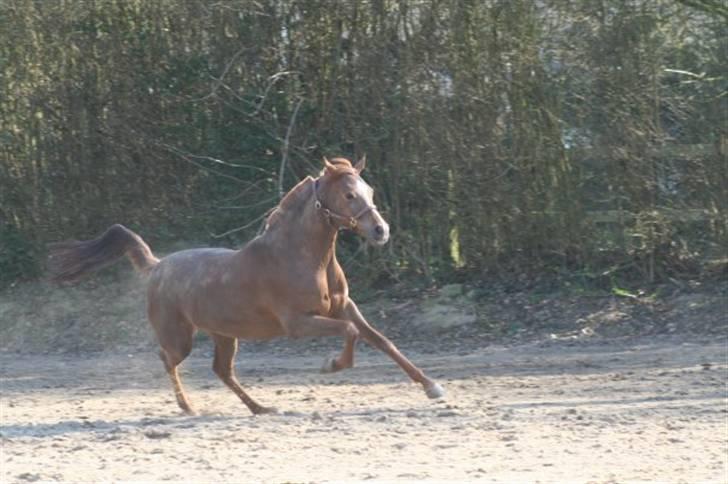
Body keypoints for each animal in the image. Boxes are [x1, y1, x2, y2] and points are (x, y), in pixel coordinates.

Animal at [49, 157, 444, 414]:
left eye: (369, 190)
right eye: (349, 196)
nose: (381, 231)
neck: (302, 257)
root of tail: (157, 266)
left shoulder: (345, 306)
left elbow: (381, 340)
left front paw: (432, 387)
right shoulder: (299, 323)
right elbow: (350, 333)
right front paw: (331, 365)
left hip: (224, 334)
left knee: (222, 370)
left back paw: (260, 408)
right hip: (180, 337)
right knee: (168, 358)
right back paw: (187, 406)